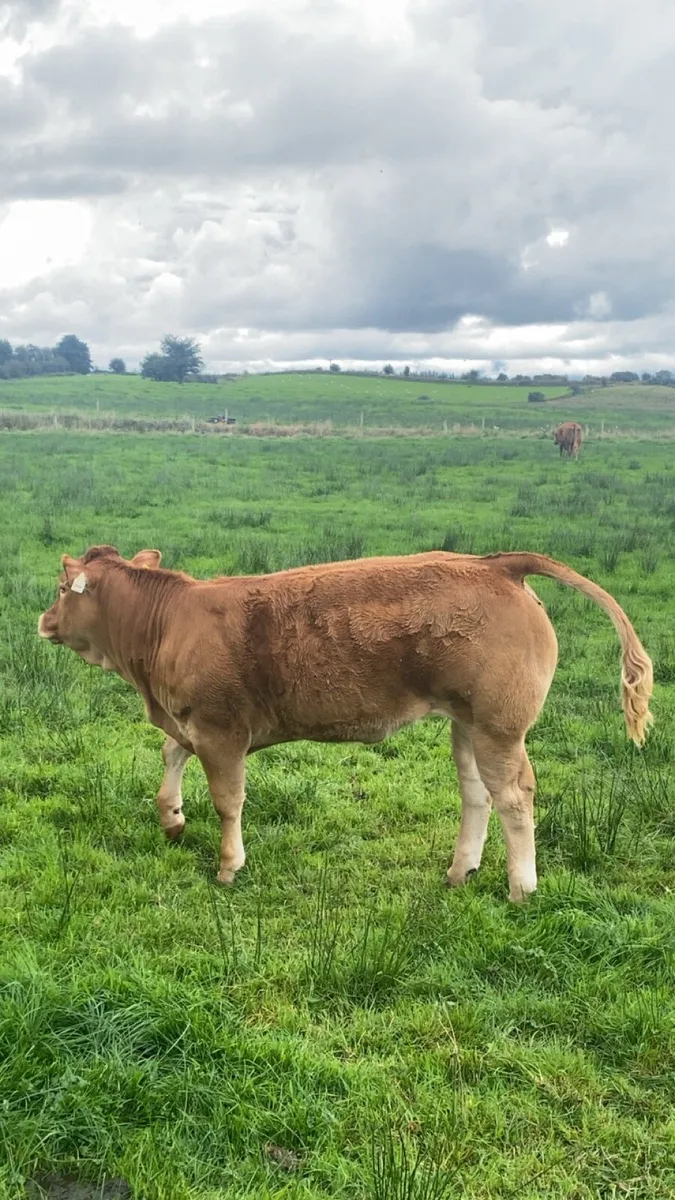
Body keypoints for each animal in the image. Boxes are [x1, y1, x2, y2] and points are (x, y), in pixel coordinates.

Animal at [38, 546, 652, 903]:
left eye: (61, 589)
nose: (43, 621)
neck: (167, 624)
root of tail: (497, 564)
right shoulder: (190, 721)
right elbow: (170, 754)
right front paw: (170, 817)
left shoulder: (221, 730)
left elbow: (228, 800)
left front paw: (229, 865)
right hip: (468, 723)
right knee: (477, 793)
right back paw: (461, 870)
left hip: (499, 726)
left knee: (515, 797)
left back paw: (521, 886)